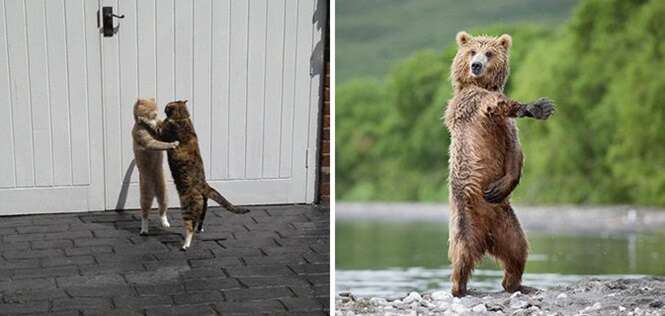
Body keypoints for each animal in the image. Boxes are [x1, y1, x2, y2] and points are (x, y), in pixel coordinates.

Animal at [143, 100, 249, 251]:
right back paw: (200, 229)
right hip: (203, 208)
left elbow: (155, 126)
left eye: (168, 106)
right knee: (199, 222)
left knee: (189, 228)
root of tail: (205, 186)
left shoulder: (163, 133)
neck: (183, 117)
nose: (164, 107)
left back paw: (185, 245)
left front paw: (145, 119)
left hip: (187, 206)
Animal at [446, 31, 556, 296]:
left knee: (518, 249)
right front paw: (535, 107)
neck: (479, 84)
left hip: (506, 221)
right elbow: (496, 103)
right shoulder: (474, 104)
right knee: (461, 253)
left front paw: (499, 187)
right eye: (472, 51)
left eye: (489, 53)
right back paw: (459, 287)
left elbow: (515, 152)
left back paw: (516, 284)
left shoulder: (507, 129)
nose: (476, 66)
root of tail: (486, 238)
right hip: (464, 217)